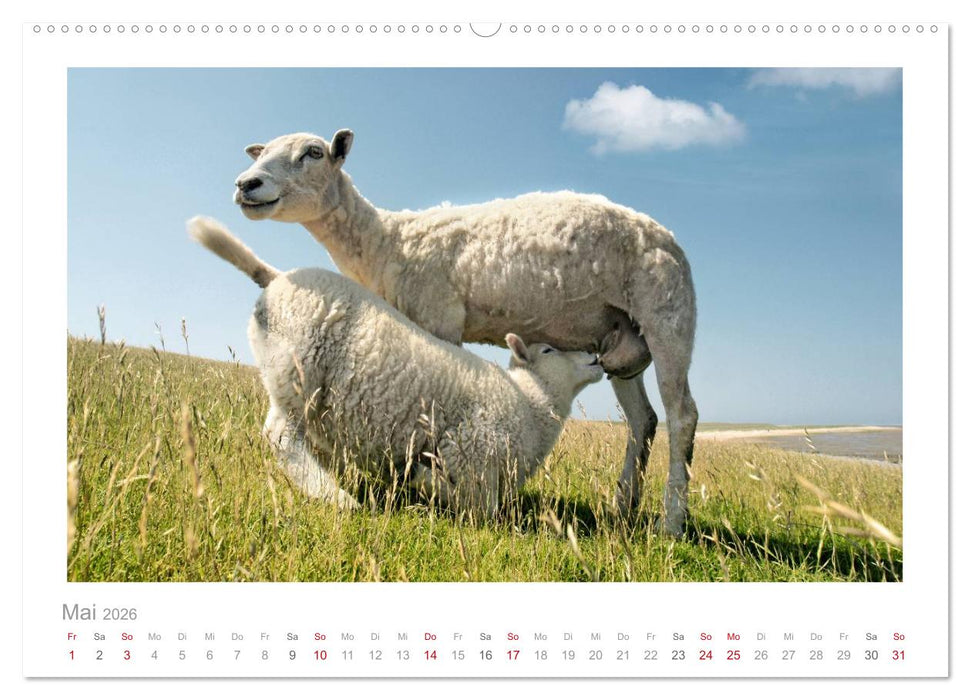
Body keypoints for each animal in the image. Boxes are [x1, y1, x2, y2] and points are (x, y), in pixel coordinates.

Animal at [188, 216, 605, 519]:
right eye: (549, 350)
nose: (596, 358)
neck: (531, 405)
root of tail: (276, 279)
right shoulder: (470, 451)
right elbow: (479, 507)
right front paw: (425, 481)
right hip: (298, 369)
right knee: (280, 436)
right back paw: (335, 497)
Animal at [232, 130, 699, 536]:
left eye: (313, 153)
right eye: (261, 151)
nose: (246, 183)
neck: (386, 241)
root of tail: (671, 239)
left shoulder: (439, 316)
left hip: (668, 316)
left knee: (682, 416)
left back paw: (672, 521)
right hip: (620, 338)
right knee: (643, 420)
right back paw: (623, 506)